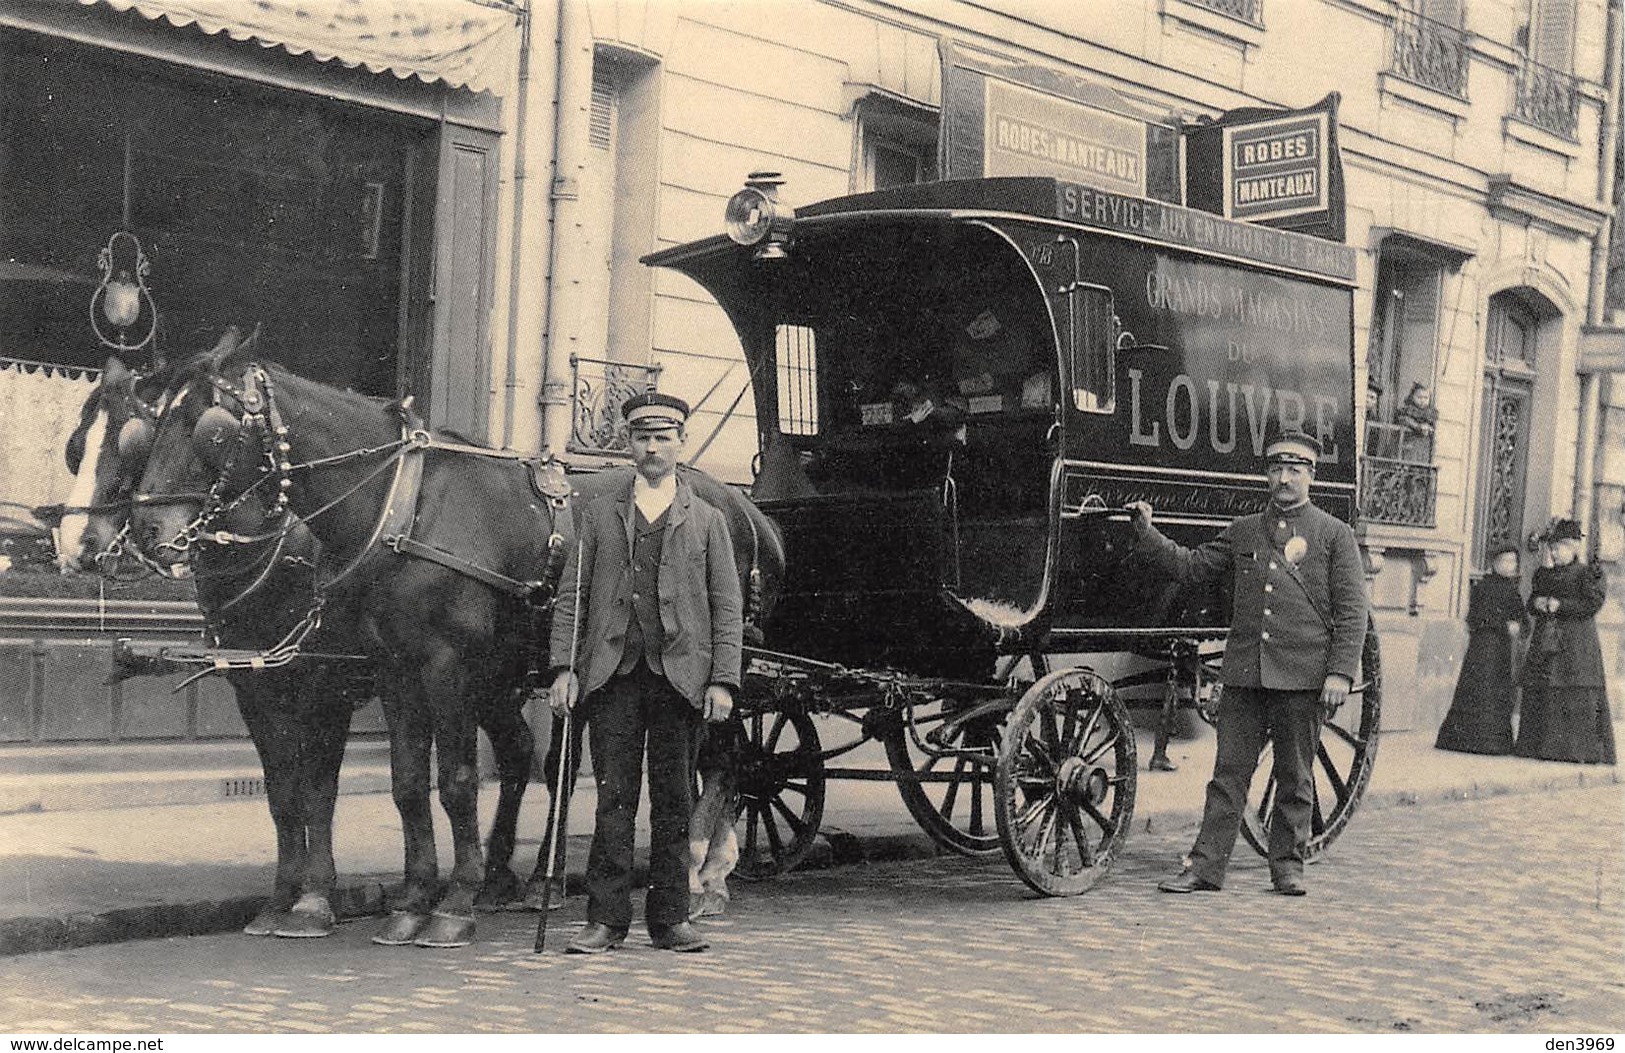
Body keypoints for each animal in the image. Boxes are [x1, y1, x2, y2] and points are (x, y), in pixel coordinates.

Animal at [128, 328, 780, 949]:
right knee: (548, 760)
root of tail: (740, 505)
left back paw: (703, 874)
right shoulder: (378, 672)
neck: (406, 509)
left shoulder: (418, 673)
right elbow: (392, 785)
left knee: (717, 761)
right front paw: (409, 902)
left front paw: (443, 906)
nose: (146, 531)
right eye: (145, 430)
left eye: (210, 431)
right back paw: (530, 879)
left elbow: (447, 783)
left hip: (715, 676)